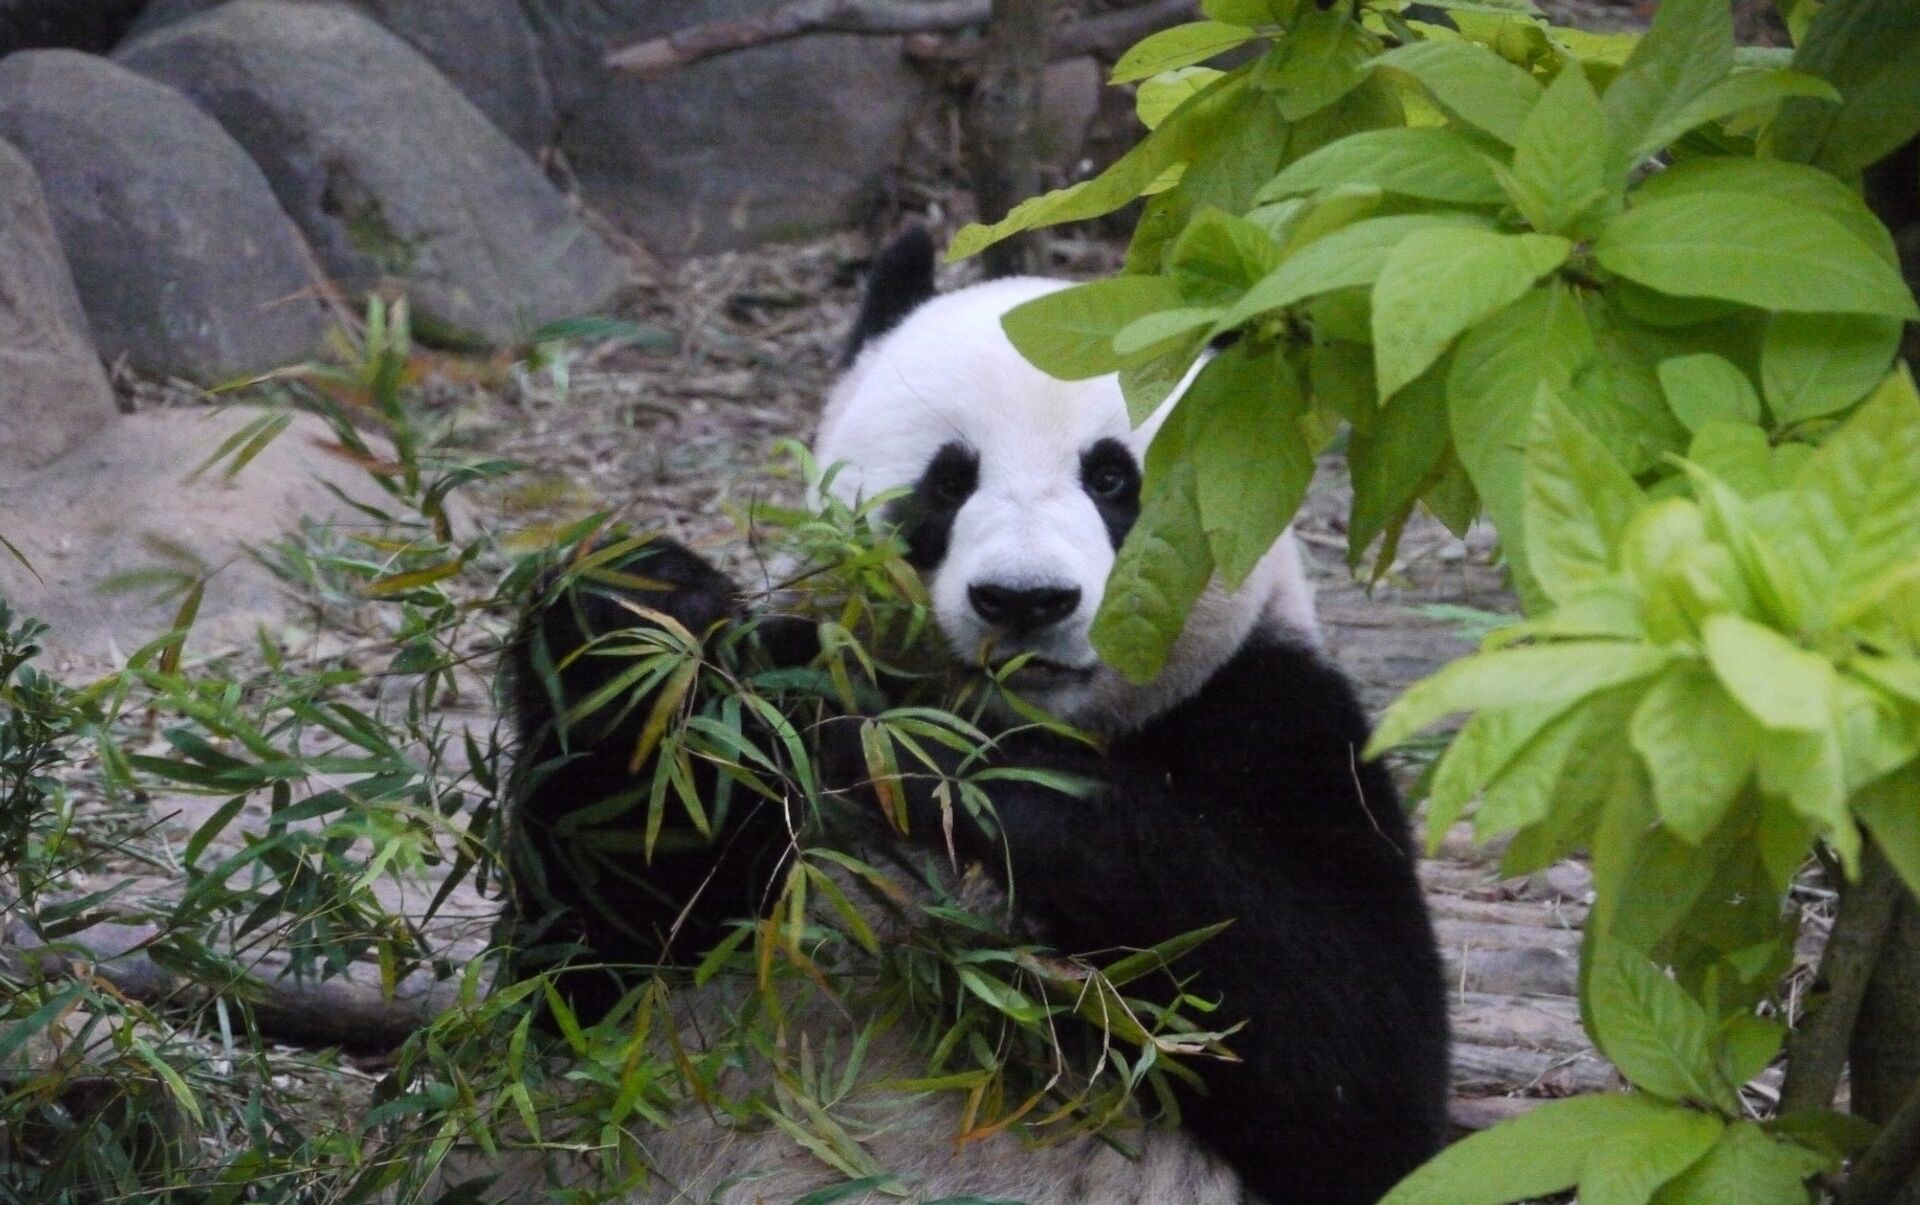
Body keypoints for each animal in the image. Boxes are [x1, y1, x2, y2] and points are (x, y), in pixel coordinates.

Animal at [498, 227, 1450, 1205]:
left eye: (1114, 478)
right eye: (948, 482)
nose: (1025, 600)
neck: (1040, 721)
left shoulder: (1274, 718)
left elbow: (1348, 1041)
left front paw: (937, 769)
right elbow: (587, 959)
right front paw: (630, 608)